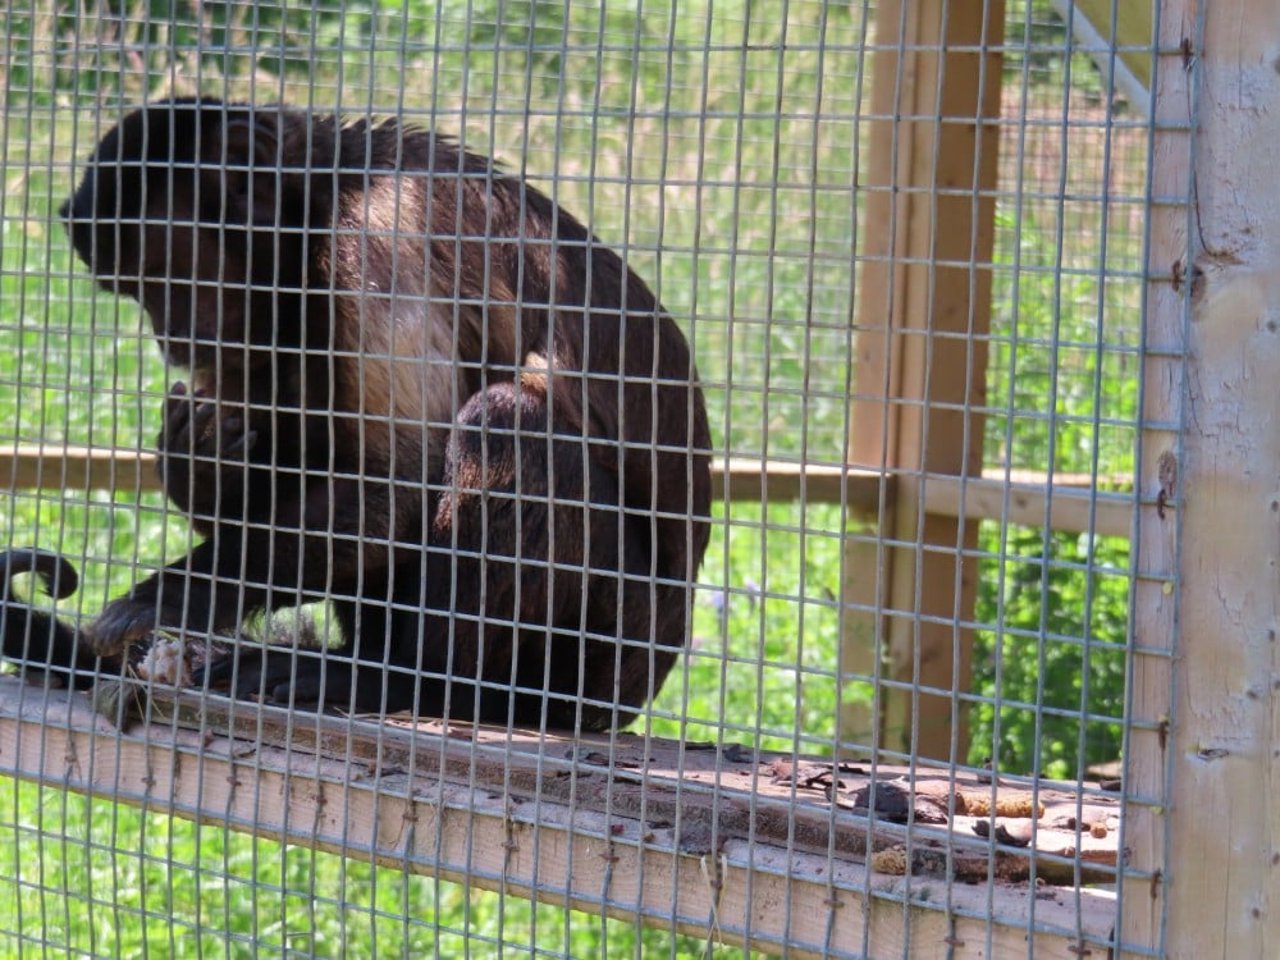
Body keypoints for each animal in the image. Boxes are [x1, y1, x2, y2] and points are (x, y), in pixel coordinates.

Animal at [49, 96, 711, 727]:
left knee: (504, 423)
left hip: (608, 651)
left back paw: (413, 681)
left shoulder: (377, 244)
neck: (322, 202)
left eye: (164, 276)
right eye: (136, 290)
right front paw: (204, 472)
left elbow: (400, 485)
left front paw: (177, 593)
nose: (169, 333)